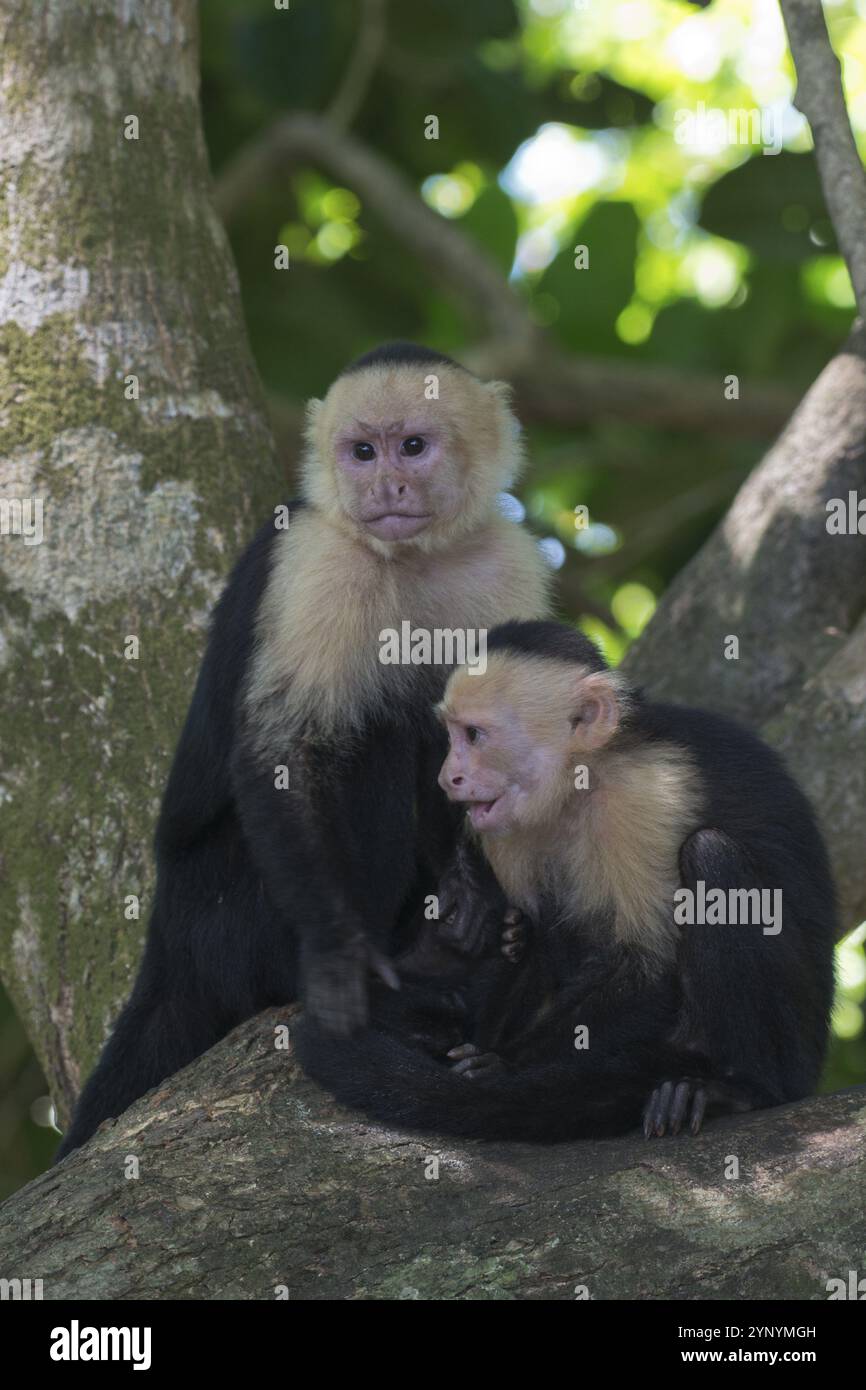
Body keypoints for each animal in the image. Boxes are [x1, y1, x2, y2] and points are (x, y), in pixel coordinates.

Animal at [57, 341, 553, 1156]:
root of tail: (167, 933)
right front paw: (338, 956)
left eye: (412, 446)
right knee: (371, 732)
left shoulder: (502, 562)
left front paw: (475, 891)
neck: (410, 557)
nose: (385, 484)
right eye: (362, 452)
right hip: (227, 913)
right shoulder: (318, 559)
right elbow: (287, 750)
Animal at [294, 625, 839, 1145]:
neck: (581, 781)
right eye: (450, 735)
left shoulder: (647, 796)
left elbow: (649, 965)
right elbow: (529, 931)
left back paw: (741, 1085)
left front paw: (501, 1066)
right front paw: (473, 1028)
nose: (449, 778)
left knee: (713, 860)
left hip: (797, 1043)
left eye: (474, 735)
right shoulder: (504, 826)